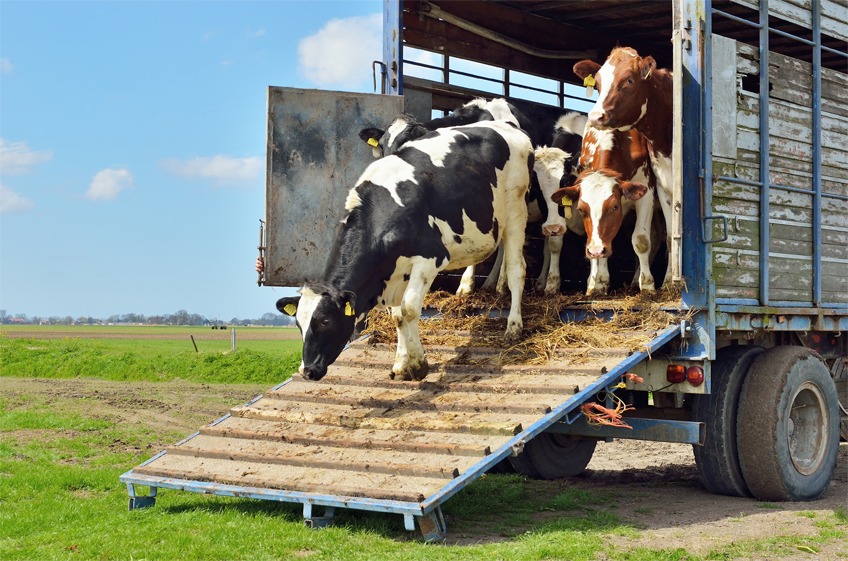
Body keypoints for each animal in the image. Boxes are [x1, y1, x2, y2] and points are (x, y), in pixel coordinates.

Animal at [278, 120, 528, 382]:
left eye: (325, 321)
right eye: (299, 324)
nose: (307, 370)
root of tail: (504, 124)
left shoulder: (429, 258)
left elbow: (409, 309)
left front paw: (419, 364)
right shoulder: (395, 273)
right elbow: (397, 317)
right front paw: (400, 364)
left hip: (516, 210)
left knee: (517, 269)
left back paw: (513, 326)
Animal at [548, 126, 656, 294]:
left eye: (614, 207)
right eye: (581, 209)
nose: (596, 251)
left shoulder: (646, 191)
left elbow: (641, 240)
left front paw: (647, 285)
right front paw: (599, 281)